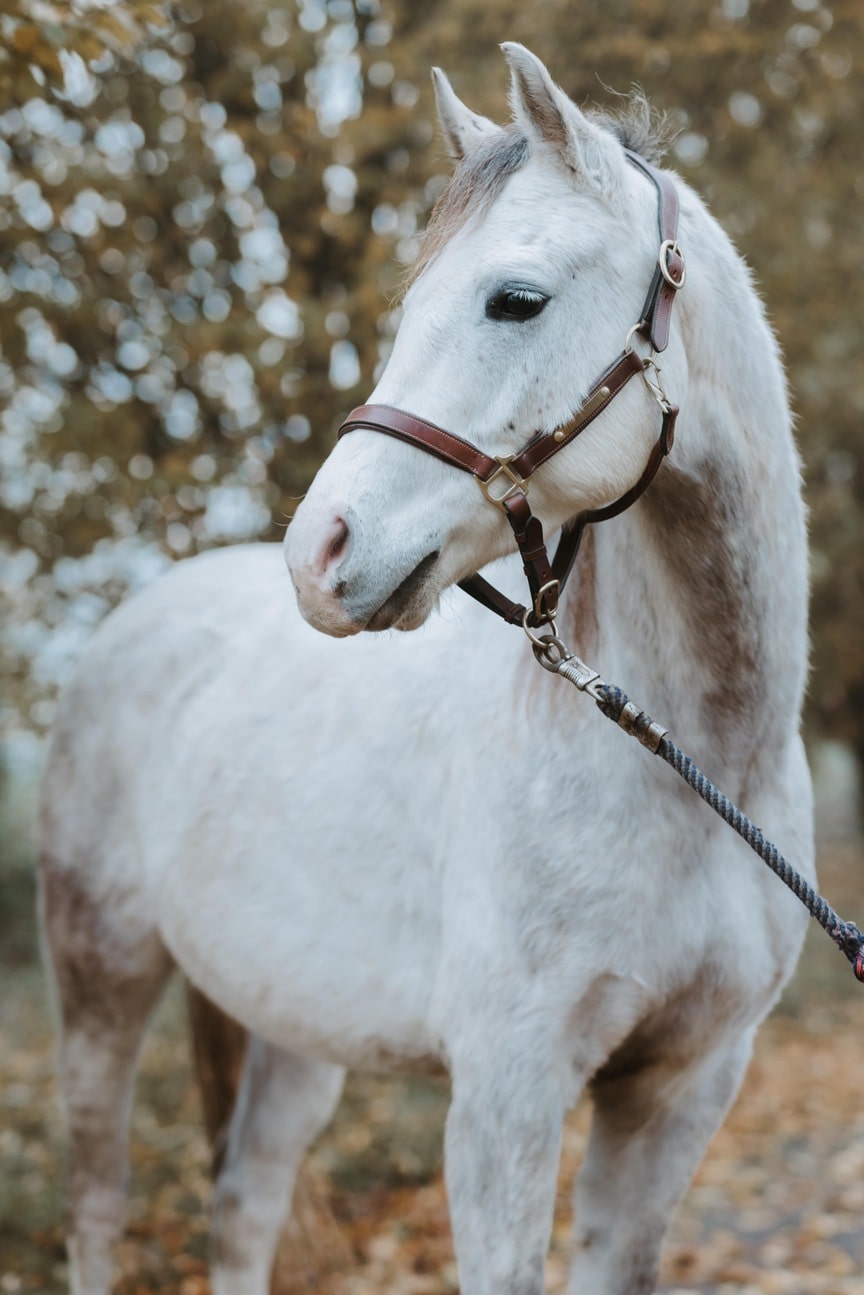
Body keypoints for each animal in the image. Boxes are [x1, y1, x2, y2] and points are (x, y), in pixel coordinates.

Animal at [40, 42, 813, 1295]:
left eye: (516, 299)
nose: (319, 553)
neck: (693, 767)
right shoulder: (506, 1096)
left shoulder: (682, 1089)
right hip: (100, 977)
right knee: (100, 1202)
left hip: (292, 1021)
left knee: (243, 1203)